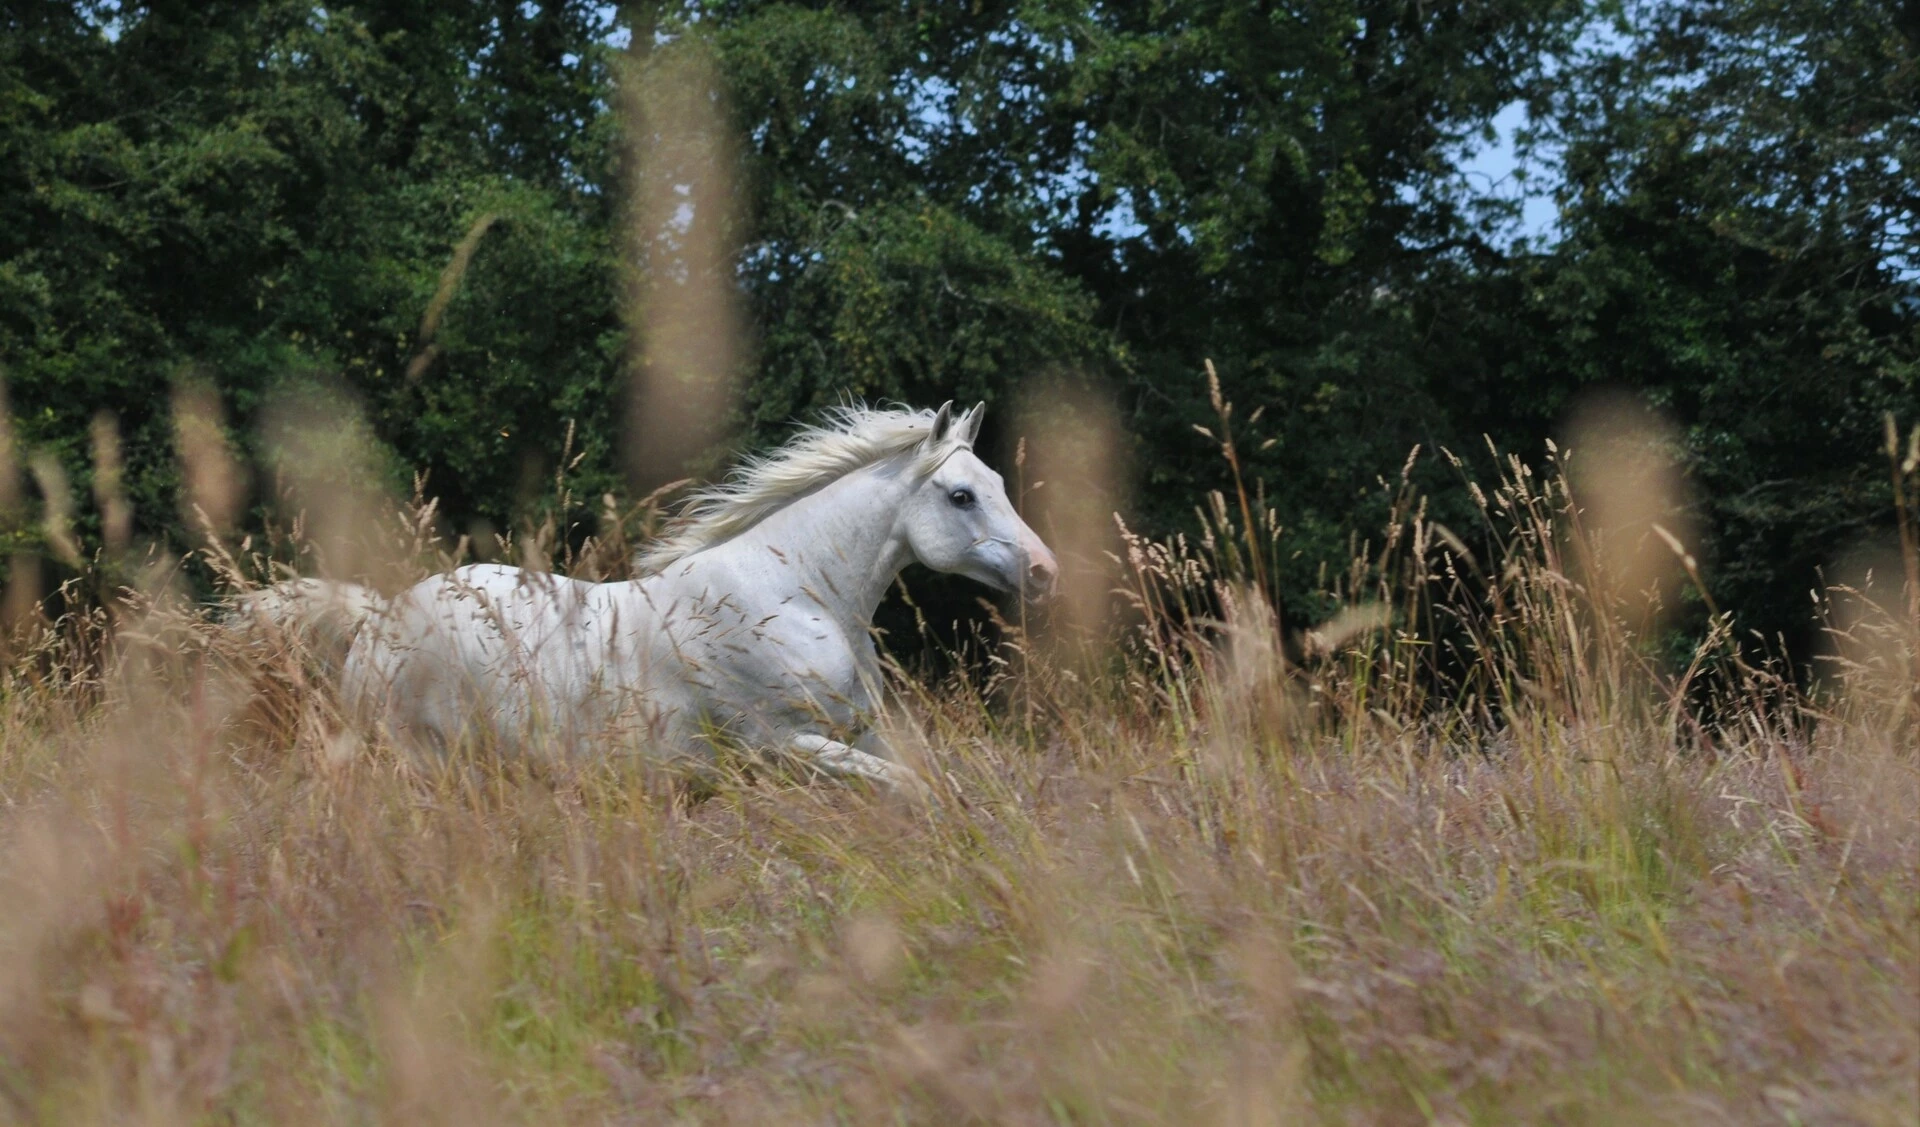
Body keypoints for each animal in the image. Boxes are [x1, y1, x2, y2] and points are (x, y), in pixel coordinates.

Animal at [240, 405, 1059, 794]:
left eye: (997, 481)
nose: (1045, 570)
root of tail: (379, 621)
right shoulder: (782, 745)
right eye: (960, 495)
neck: (797, 595)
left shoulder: (861, 734)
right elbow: (908, 790)